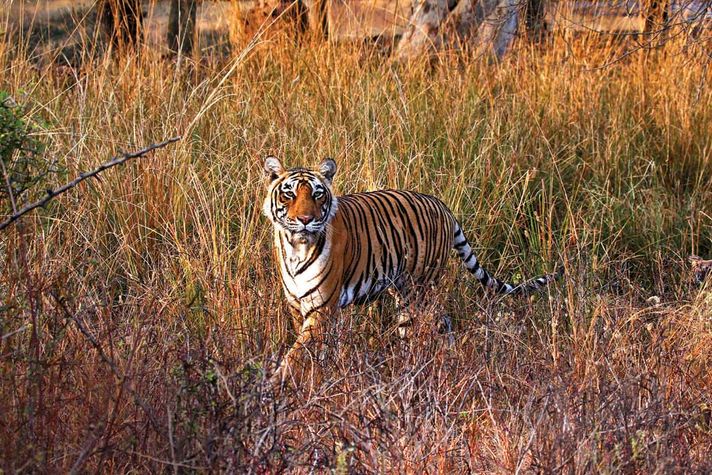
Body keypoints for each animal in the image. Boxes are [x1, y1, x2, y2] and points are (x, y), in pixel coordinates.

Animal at [262, 157, 560, 386]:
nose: (305, 220)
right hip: (405, 291)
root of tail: (442, 206)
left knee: (431, 325)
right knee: (432, 324)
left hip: (420, 289)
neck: (296, 247)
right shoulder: (297, 305)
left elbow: (298, 352)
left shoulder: (321, 307)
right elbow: (314, 350)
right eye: (289, 194)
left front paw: (275, 385)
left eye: (317, 194)